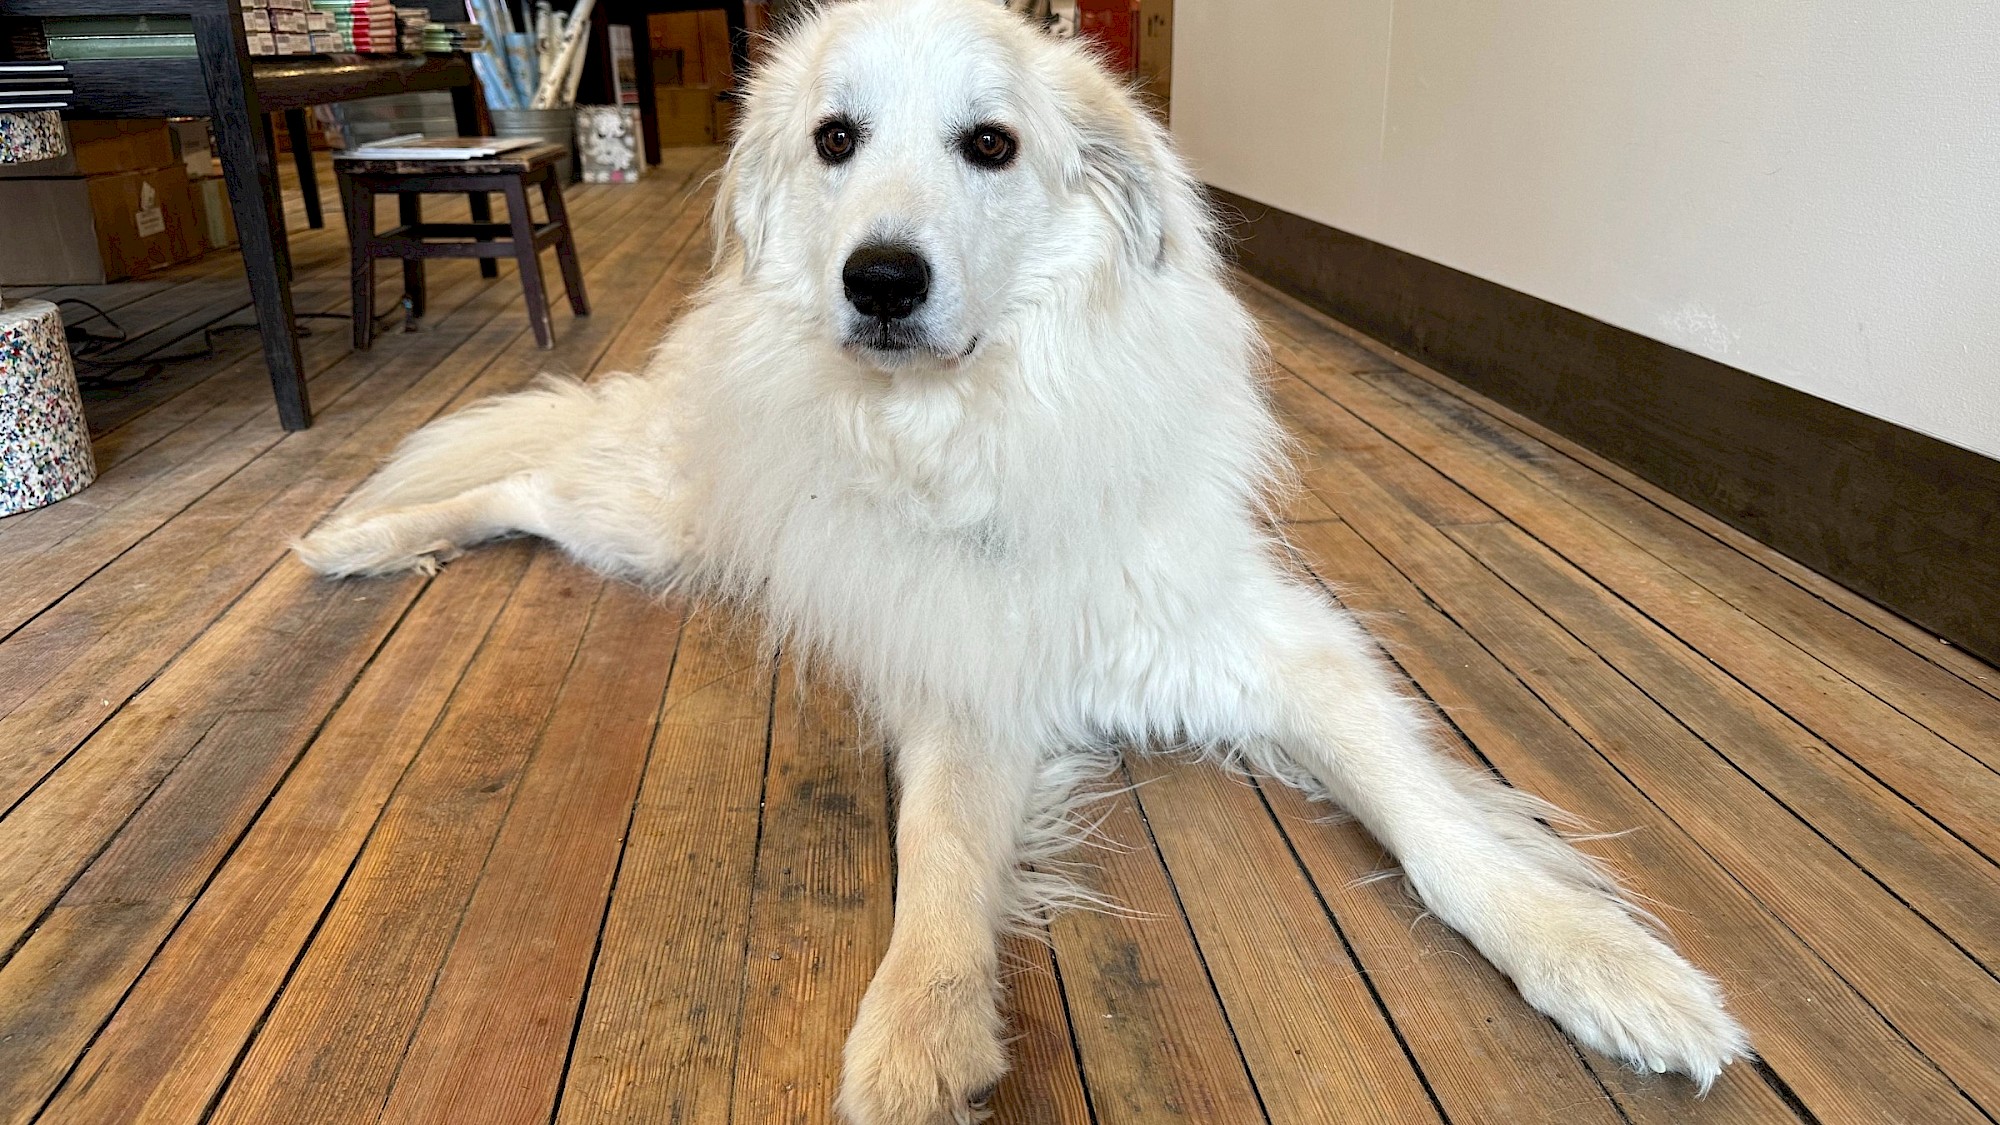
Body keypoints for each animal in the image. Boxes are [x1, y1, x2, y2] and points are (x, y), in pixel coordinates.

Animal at [290, 4, 1744, 1112]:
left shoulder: (1280, 652)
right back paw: (357, 539)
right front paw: (919, 1039)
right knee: (520, 483)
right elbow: (936, 864)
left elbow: (1437, 824)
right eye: (835, 139)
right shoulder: (962, 683)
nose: (879, 280)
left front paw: (1602, 964)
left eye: (990, 145)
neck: (971, 430)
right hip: (655, 517)